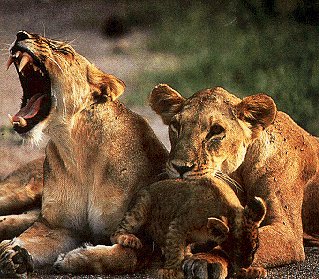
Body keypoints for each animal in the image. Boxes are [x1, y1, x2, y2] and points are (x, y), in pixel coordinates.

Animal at [0, 31, 169, 278]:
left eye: (63, 50)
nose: (21, 34)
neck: (77, 150)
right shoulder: (57, 227)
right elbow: (30, 239)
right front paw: (12, 255)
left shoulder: (147, 240)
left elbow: (124, 257)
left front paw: (73, 259)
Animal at [112, 177, 268, 279]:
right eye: (237, 251)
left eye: (254, 249)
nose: (247, 263)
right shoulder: (178, 225)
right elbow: (175, 249)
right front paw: (172, 271)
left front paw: (250, 270)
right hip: (140, 207)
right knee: (116, 233)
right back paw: (128, 238)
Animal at [150, 83, 319, 274]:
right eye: (176, 125)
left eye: (216, 130)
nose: (180, 167)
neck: (237, 175)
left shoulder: (287, 233)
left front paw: (206, 260)